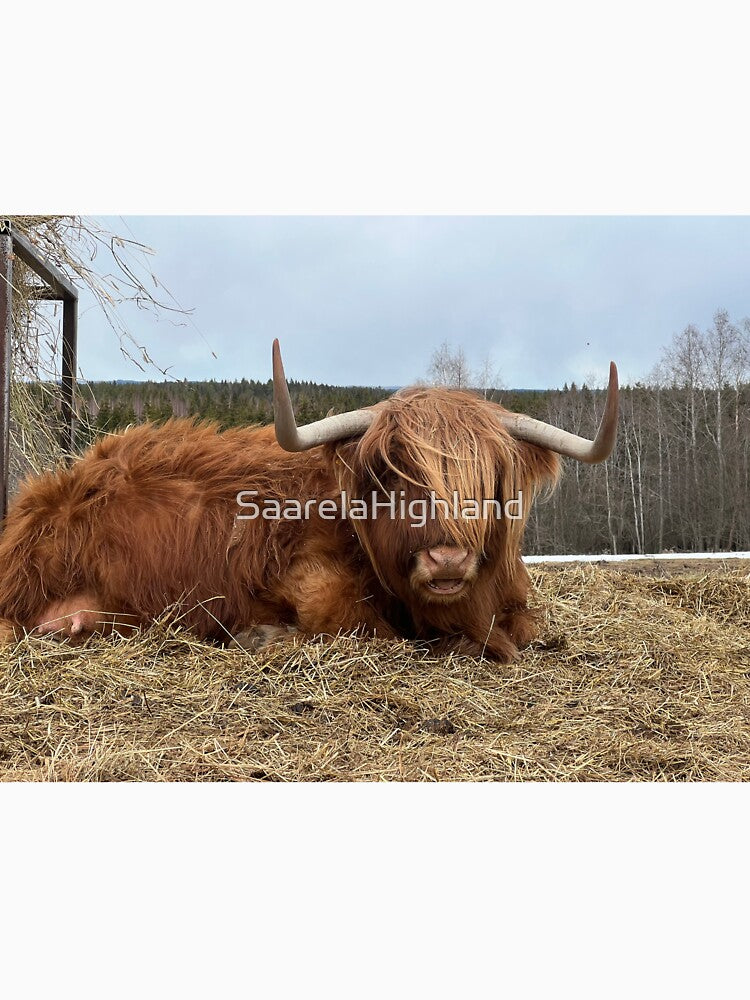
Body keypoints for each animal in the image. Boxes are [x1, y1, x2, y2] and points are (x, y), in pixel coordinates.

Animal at [0, 341, 618, 661]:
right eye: (391, 475)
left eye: (487, 480)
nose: (447, 559)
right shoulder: (306, 577)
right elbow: (354, 623)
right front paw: (260, 634)